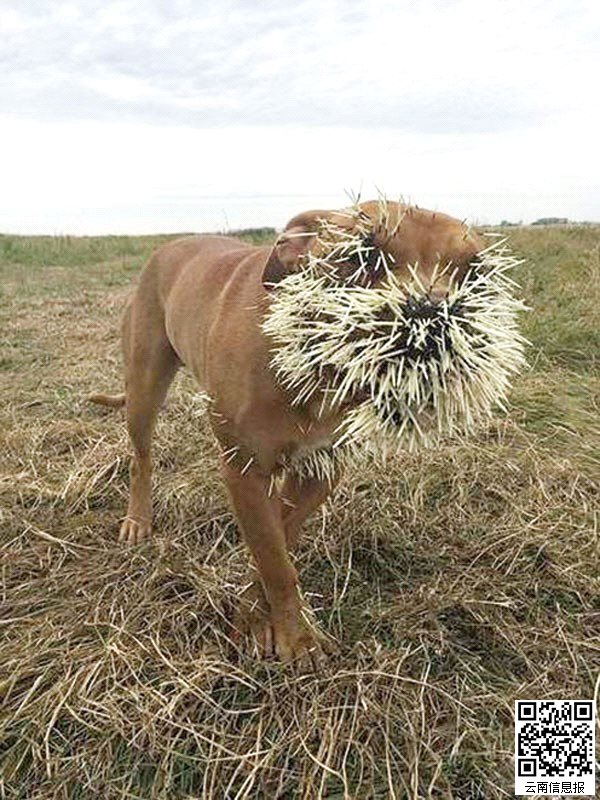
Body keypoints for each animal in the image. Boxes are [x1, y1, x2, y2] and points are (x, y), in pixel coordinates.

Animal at [90, 200, 482, 664]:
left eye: (474, 271)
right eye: (361, 255)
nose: (431, 316)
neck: (314, 367)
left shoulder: (321, 470)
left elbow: (279, 540)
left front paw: (257, 618)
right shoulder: (244, 470)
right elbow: (275, 560)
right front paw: (297, 638)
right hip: (144, 387)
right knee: (142, 458)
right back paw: (138, 519)